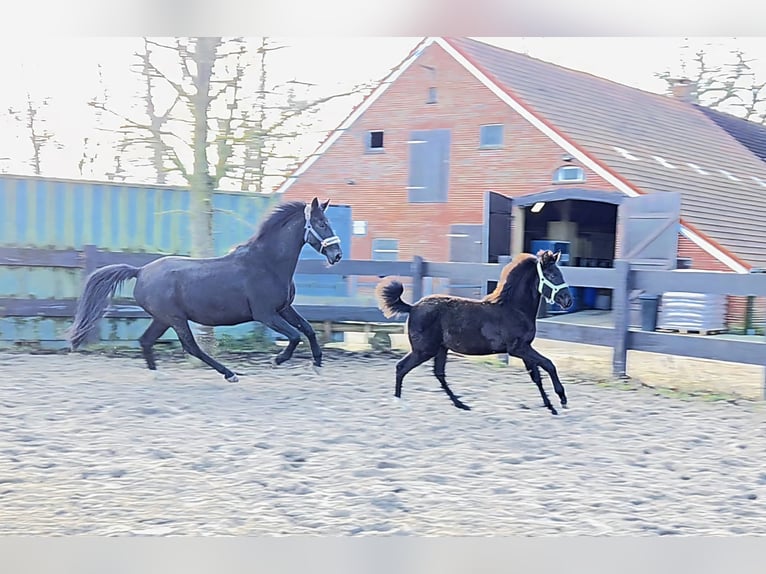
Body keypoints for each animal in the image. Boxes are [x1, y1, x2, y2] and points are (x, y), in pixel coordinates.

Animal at [66, 197, 343, 381]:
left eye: (328, 221)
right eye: (320, 223)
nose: (337, 255)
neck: (266, 263)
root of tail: (141, 271)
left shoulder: (284, 308)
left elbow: (308, 330)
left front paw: (317, 363)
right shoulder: (265, 314)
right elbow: (295, 336)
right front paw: (277, 360)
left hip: (163, 319)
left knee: (146, 341)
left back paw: (157, 375)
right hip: (175, 318)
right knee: (191, 347)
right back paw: (230, 374)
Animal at [375, 250, 573, 415]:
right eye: (552, 274)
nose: (568, 300)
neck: (514, 309)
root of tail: (412, 307)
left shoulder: (525, 349)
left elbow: (536, 376)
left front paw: (551, 407)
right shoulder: (518, 348)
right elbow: (548, 364)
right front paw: (562, 399)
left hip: (440, 349)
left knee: (439, 373)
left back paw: (461, 404)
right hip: (424, 350)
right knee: (402, 367)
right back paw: (400, 403)